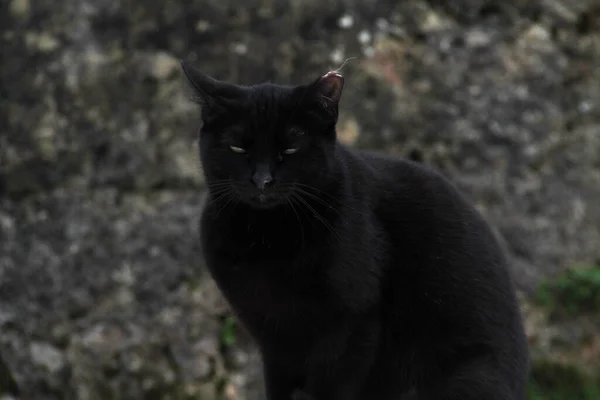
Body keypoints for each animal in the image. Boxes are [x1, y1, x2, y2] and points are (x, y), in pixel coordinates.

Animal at [180, 60, 528, 400]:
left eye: (291, 148)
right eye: (237, 148)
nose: (262, 180)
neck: (266, 239)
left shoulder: (350, 324)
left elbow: (332, 386)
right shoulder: (273, 337)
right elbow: (279, 386)